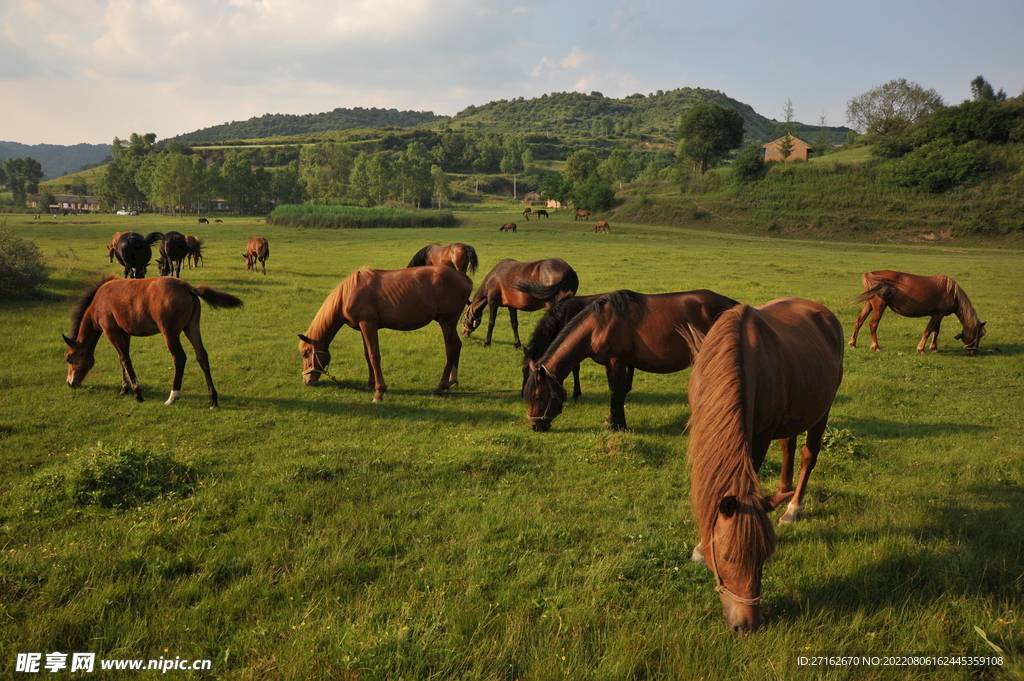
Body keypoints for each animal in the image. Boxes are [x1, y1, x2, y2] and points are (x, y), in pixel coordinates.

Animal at [63, 276, 243, 408]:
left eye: (68, 358)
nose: (70, 383)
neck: (99, 301)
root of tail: (189, 289)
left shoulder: (111, 332)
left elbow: (125, 359)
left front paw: (137, 394)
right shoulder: (124, 333)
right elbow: (122, 360)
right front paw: (124, 389)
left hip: (169, 332)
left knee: (179, 358)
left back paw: (172, 397)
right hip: (192, 328)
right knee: (202, 356)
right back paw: (213, 400)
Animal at [298, 266, 472, 402]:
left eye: (306, 353)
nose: (306, 381)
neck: (348, 294)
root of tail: (463, 277)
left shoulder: (368, 325)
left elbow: (374, 356)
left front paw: (378, 392)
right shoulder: (364, 327)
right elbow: (367, 355)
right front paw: (370, 385)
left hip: (446, 322)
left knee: (450, 350)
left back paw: (440, 388)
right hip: (449, 323)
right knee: (457, 345)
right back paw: (451, 382)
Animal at [523, 289, 738, 431]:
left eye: (539, 396)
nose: (534, 426)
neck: (598, 325)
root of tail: (733, 306)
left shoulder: (618, 361)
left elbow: (617, 391)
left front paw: (619, 425)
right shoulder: (608, 362)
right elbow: (613, 390)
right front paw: (612, 419)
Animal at [683, 298, 843, 633]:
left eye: (765, 557)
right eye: (727, 557)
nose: (750, 624)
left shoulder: (759, 436)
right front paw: (701, 548)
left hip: (822, 411)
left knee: (808, 456)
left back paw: (793, 508)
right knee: (789, 445)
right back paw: (783, 492)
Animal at [848, 270, 986, 356]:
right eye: (979, 335)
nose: (974, 352)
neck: (952, 291)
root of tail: (871, 274)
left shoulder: (938, 315)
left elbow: (936, 331)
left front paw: (934, 348)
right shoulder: (938, 315)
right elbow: (928, 330)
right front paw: (921, 349)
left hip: (868, 305)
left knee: (859, 321)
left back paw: (853, 343)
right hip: (879, 307)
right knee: (873, 325)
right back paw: (875, 346)